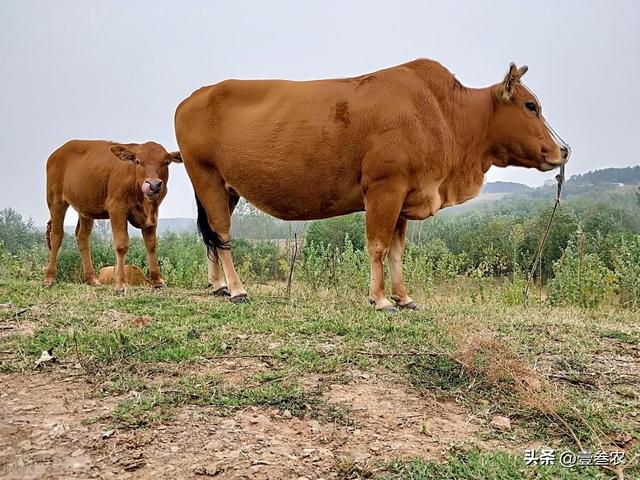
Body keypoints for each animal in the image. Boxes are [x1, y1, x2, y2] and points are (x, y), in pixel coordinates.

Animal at [45, 140, 181, 292]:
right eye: (138, 162)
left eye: (166, 162)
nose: (153, 184)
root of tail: (59, 151)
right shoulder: (116, 208)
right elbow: (122, 244)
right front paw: (120, 284)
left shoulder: (153, 214)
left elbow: (151, 245)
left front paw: (157, 280)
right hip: (55, 200)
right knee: (56, 236)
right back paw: (50, 278)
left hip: (85, 209)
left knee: (82, 238)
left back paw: (91, 279)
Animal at [174, 59, 568, 312]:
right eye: (530, 105)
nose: (563, 150)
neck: (445, 113)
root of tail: (194, 96)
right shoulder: (384, 189)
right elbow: (378, 246)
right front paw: (379, 300)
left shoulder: (407, 196)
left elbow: (397, 252)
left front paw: (404, 298)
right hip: (207, 176)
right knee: (222, 234)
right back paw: (237, 290)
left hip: (226, 188)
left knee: (211, 235)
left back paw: (218, 286)